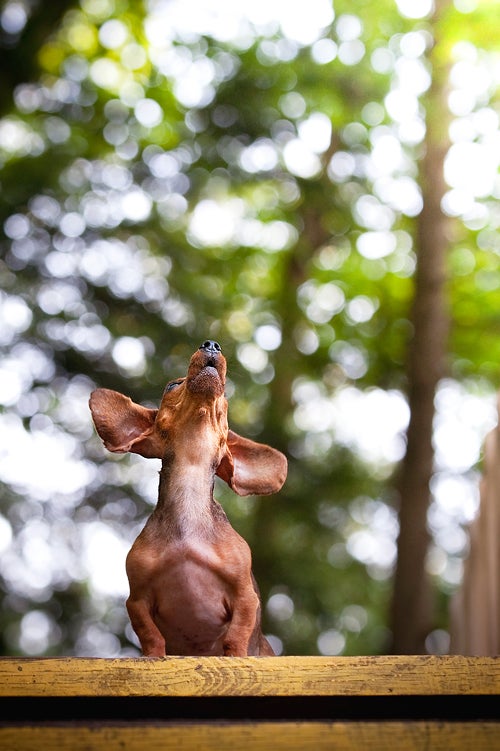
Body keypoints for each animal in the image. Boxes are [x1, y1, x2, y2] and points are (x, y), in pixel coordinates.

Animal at [88, 342, 288, 656]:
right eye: (172, 385)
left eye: (225, 400)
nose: (212, 344)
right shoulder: (137, 600)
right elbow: (151, 636)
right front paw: (153, 657)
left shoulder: (245, 596)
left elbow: (236, 638)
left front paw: (235, 656)